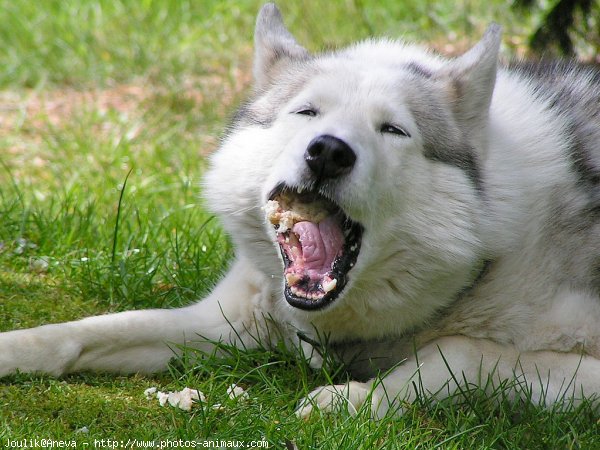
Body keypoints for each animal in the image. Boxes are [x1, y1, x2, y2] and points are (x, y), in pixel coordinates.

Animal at [1, 3, 600, 418]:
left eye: (394, 129)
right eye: (307, 112)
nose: (329, 151)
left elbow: (461, 351)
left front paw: (354, 400)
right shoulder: (223, 319)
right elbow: (86, 329)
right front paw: (13, 350)